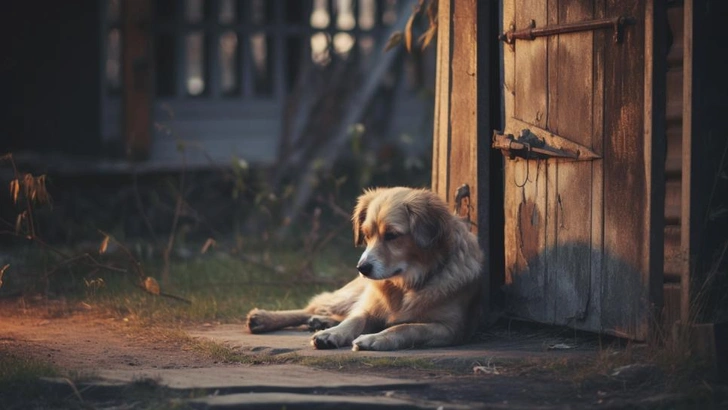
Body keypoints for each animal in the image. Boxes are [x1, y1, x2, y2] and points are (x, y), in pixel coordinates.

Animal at [245, 187, 484, 350]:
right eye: (367, 235)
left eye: (392, 236)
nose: (362, 268)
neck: (405, 285)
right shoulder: (369, 307)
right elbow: (355, 319)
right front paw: (333, 333)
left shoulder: (449, 329)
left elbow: (406, 327)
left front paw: (375, 338)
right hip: (351, 293)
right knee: (314, 306)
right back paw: (264, 318)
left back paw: (321, 321)